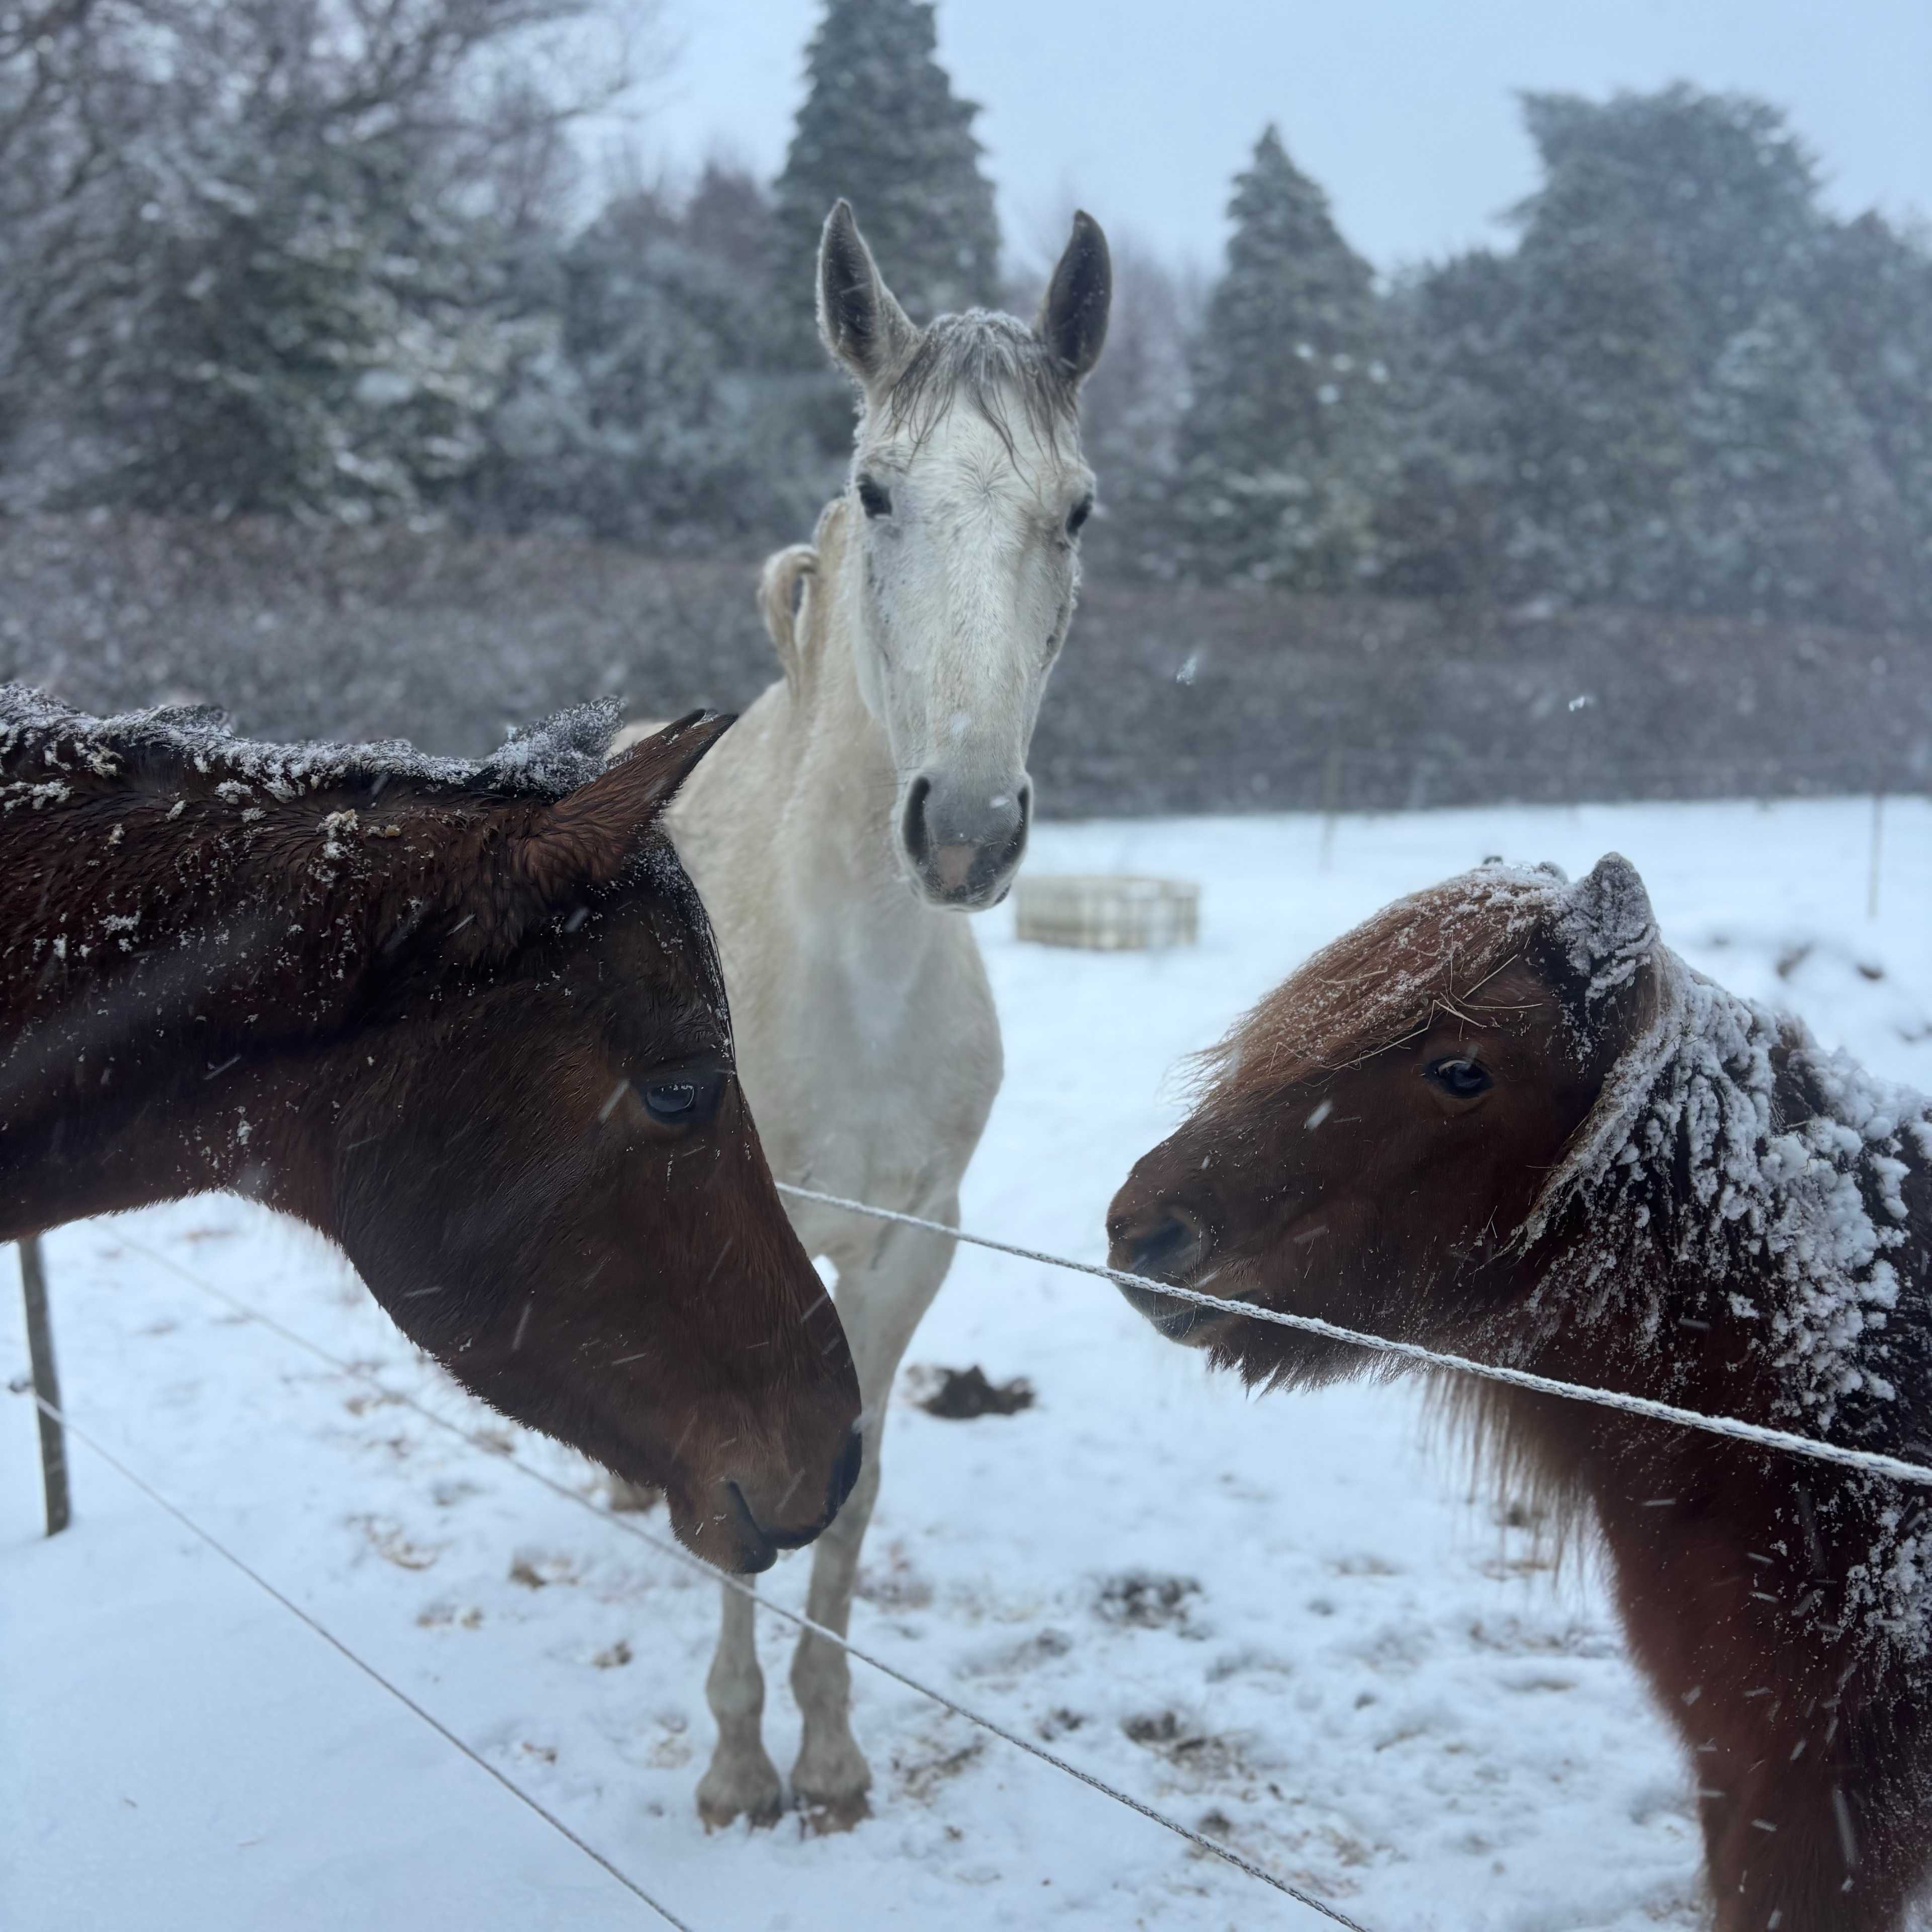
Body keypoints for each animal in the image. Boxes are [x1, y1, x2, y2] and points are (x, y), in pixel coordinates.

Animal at [607, 198, 1110, 1830]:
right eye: (876, 492)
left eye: (1075, 512)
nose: (962, 827)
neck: (852, 978)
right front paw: (732, 1768)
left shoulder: (908, 1246)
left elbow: (850, 1483)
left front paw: (825, 1757)